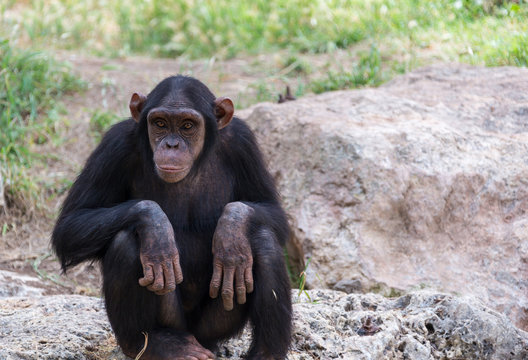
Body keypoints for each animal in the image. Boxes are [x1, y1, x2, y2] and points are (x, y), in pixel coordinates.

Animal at [52, 74, 292, 358]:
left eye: (187, 125)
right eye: (160, 123)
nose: (172, 144)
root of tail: (196, 337)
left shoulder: (243, 143)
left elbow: (272, 211)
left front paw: (231, 233)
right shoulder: (114, 144)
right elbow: (71, 224)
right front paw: (155, 226)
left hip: (214, 326)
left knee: (264, 241)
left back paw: (267, 352)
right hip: (175, 322)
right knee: (126, 243)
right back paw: (154, 344)